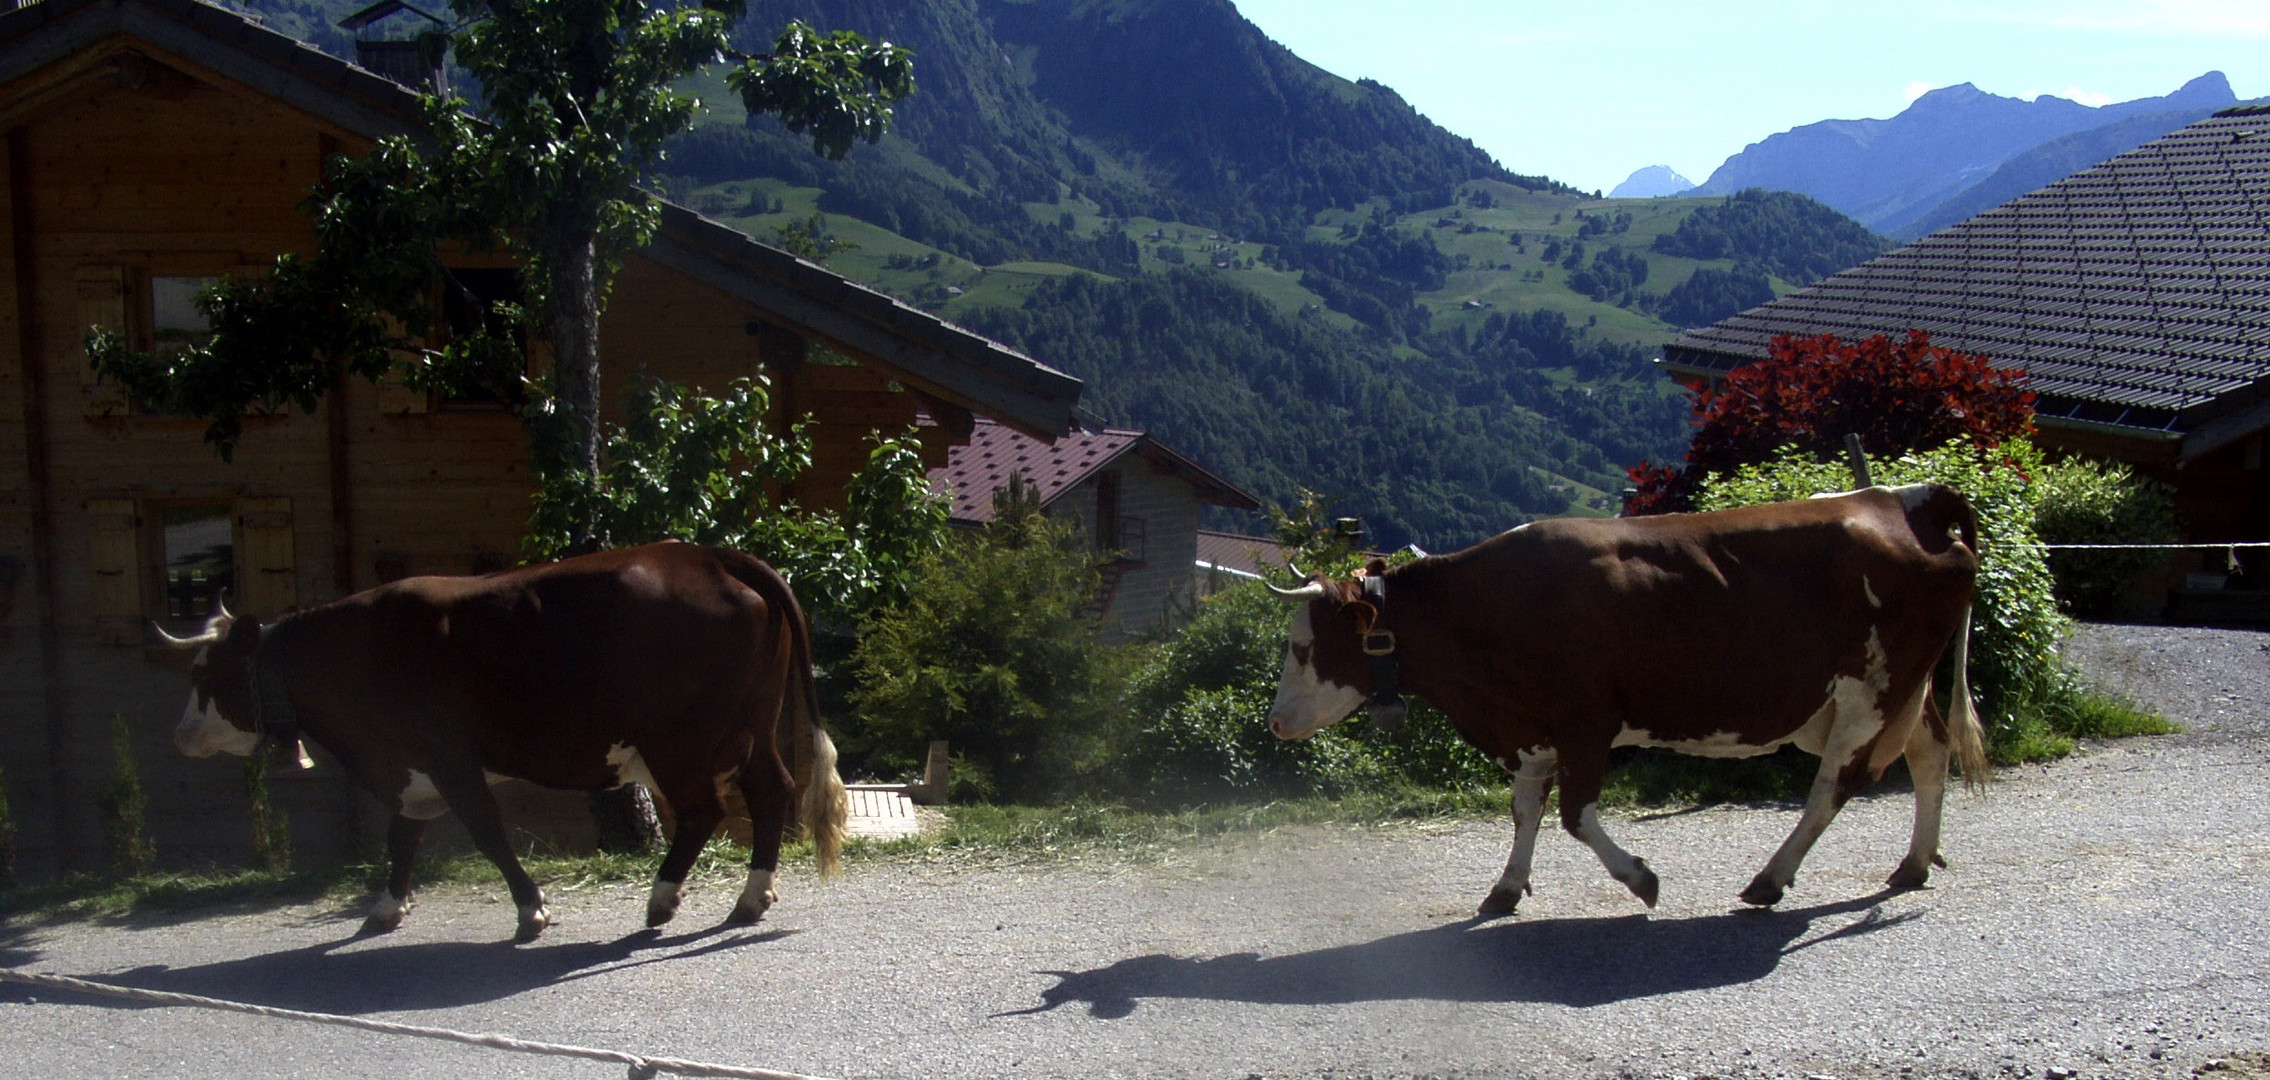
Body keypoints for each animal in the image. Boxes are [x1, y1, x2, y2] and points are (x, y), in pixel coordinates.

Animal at [160, 544, 848, 939]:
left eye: (207, 676)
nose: (181, 736)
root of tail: (708, 556)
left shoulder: (448, 758)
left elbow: (488, 833)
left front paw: (530, 909)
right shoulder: (414, 771)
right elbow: (401, 837)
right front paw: (386, 907)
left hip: (680, 740)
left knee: (705, 810)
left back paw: (661, 901)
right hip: (750, 728)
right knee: (772, 792)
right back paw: (750, 898)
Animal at [1271, 485, 1997, 916]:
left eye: (1305, 648)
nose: (1276, 723)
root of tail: (1903, 499)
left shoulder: (1586, 721)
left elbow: (1575, 817)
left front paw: (1641, 879)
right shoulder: (1531, 725)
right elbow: (1525, 810)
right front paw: (1505, 888)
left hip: (1871, 693)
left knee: (1833, 786)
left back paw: (1771, 878)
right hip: (1895, 690)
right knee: (1929, 753)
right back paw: (1913, 864)